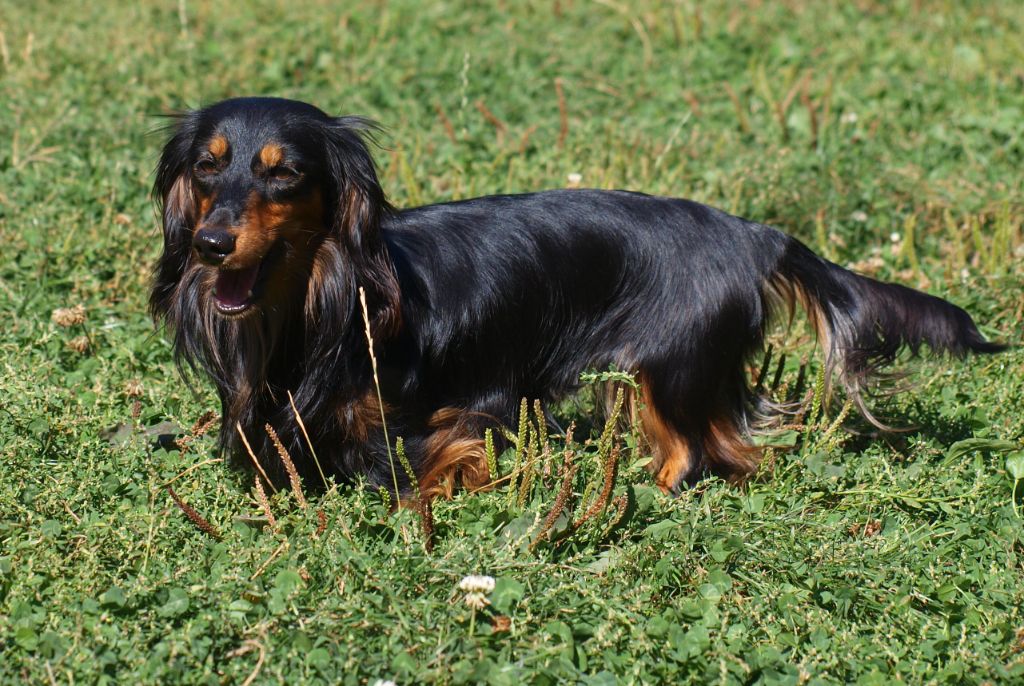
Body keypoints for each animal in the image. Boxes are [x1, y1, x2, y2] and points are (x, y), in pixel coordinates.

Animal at [151, 96, 1004, 498]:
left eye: (284, 173)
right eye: (207, 166)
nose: (212, 245)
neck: (322, 302)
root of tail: (752, 234)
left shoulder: (457, 409)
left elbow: (427, 467)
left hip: (666, 370)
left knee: (696, 453)